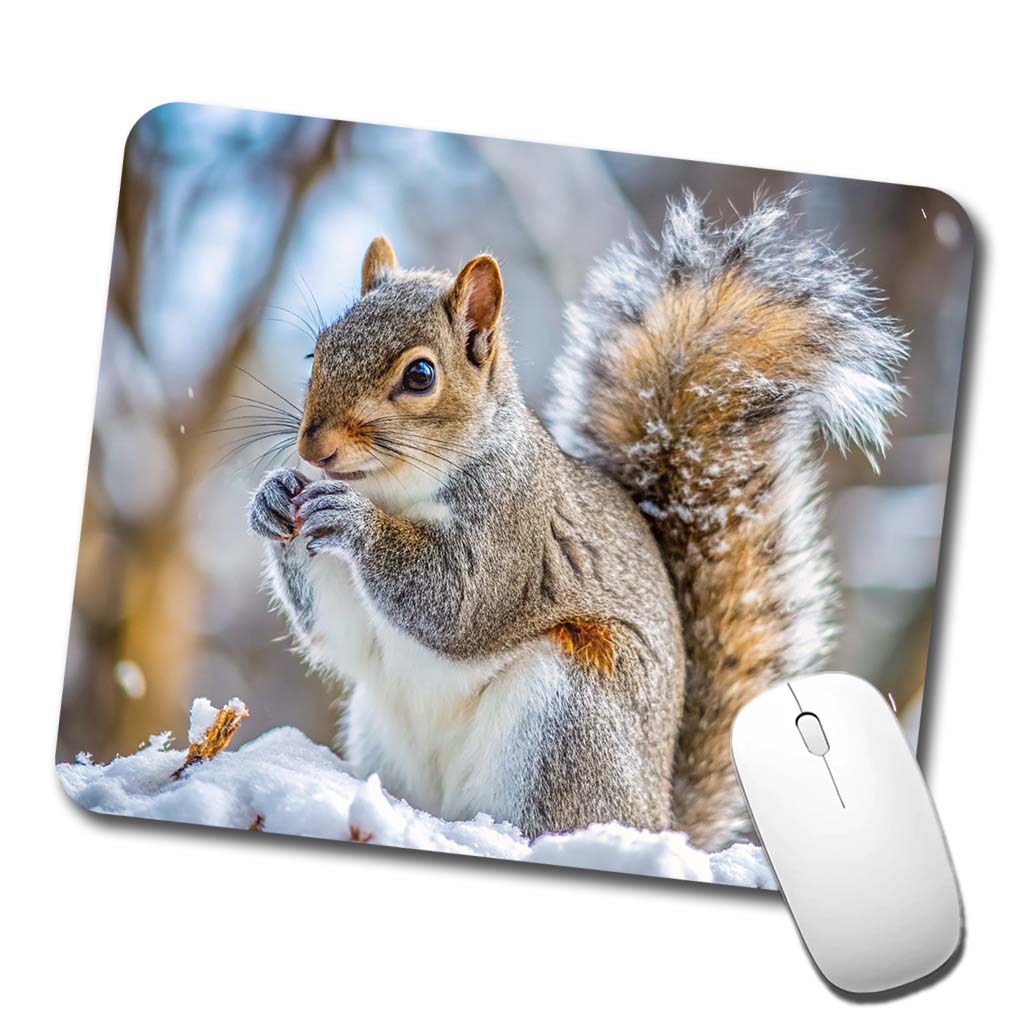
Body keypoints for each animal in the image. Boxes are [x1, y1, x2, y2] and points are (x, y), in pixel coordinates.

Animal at [248, 190, 905, 851]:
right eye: (317, 350)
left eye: (420, 375)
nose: (312, 448)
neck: (394, 490)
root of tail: (658, 816)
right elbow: (339, 635)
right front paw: (274, 496)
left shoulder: (514, 530)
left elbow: (458, 604)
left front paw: (354, 520)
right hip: (381, 726)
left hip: (570, 711)